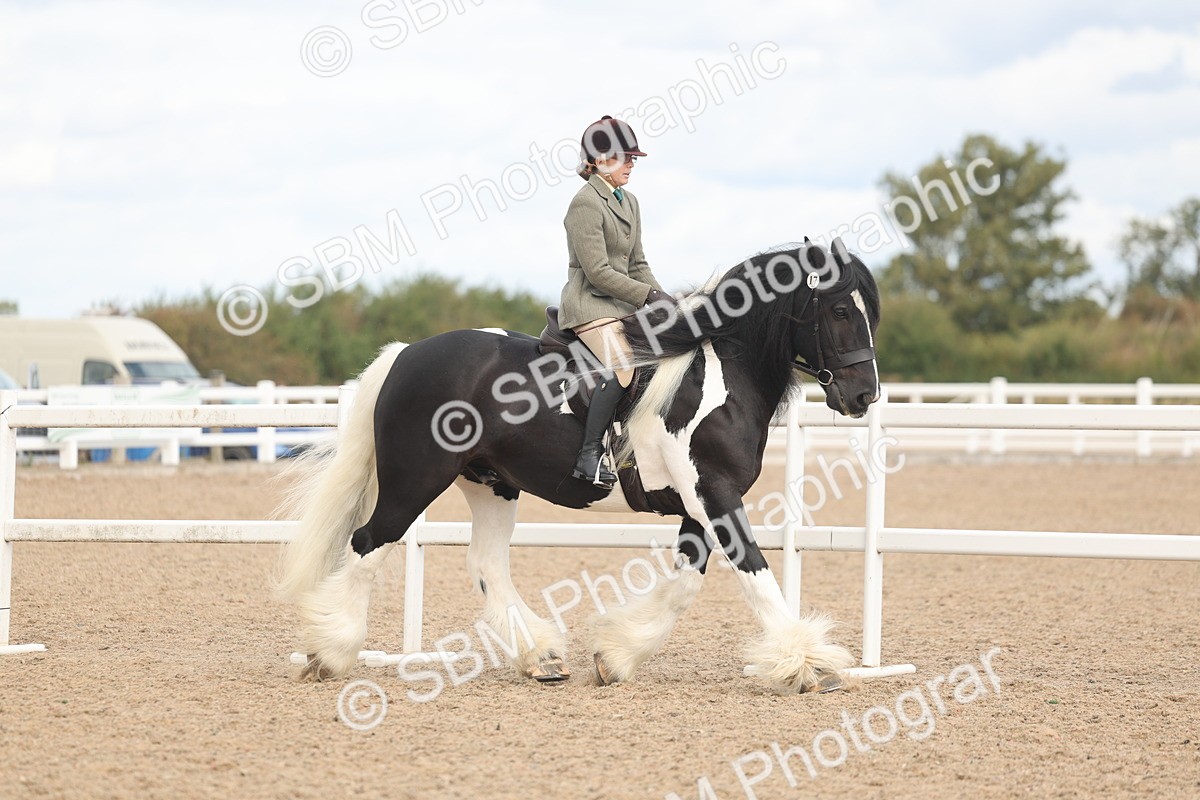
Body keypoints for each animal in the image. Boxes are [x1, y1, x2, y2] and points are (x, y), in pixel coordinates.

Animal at [277, 238, 881, 693]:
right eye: (840, 309)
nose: (864, 396)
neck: (719, 378)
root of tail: (406, 353)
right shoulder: (714, 494)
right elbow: (754, 572)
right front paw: (807, 665)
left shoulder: (700, 502)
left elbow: (685, 583)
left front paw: (616, 655)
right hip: (415, 478)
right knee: (367, 543)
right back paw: (330, 652)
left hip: (492, 484)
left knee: (485, 563)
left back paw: (540, 658)